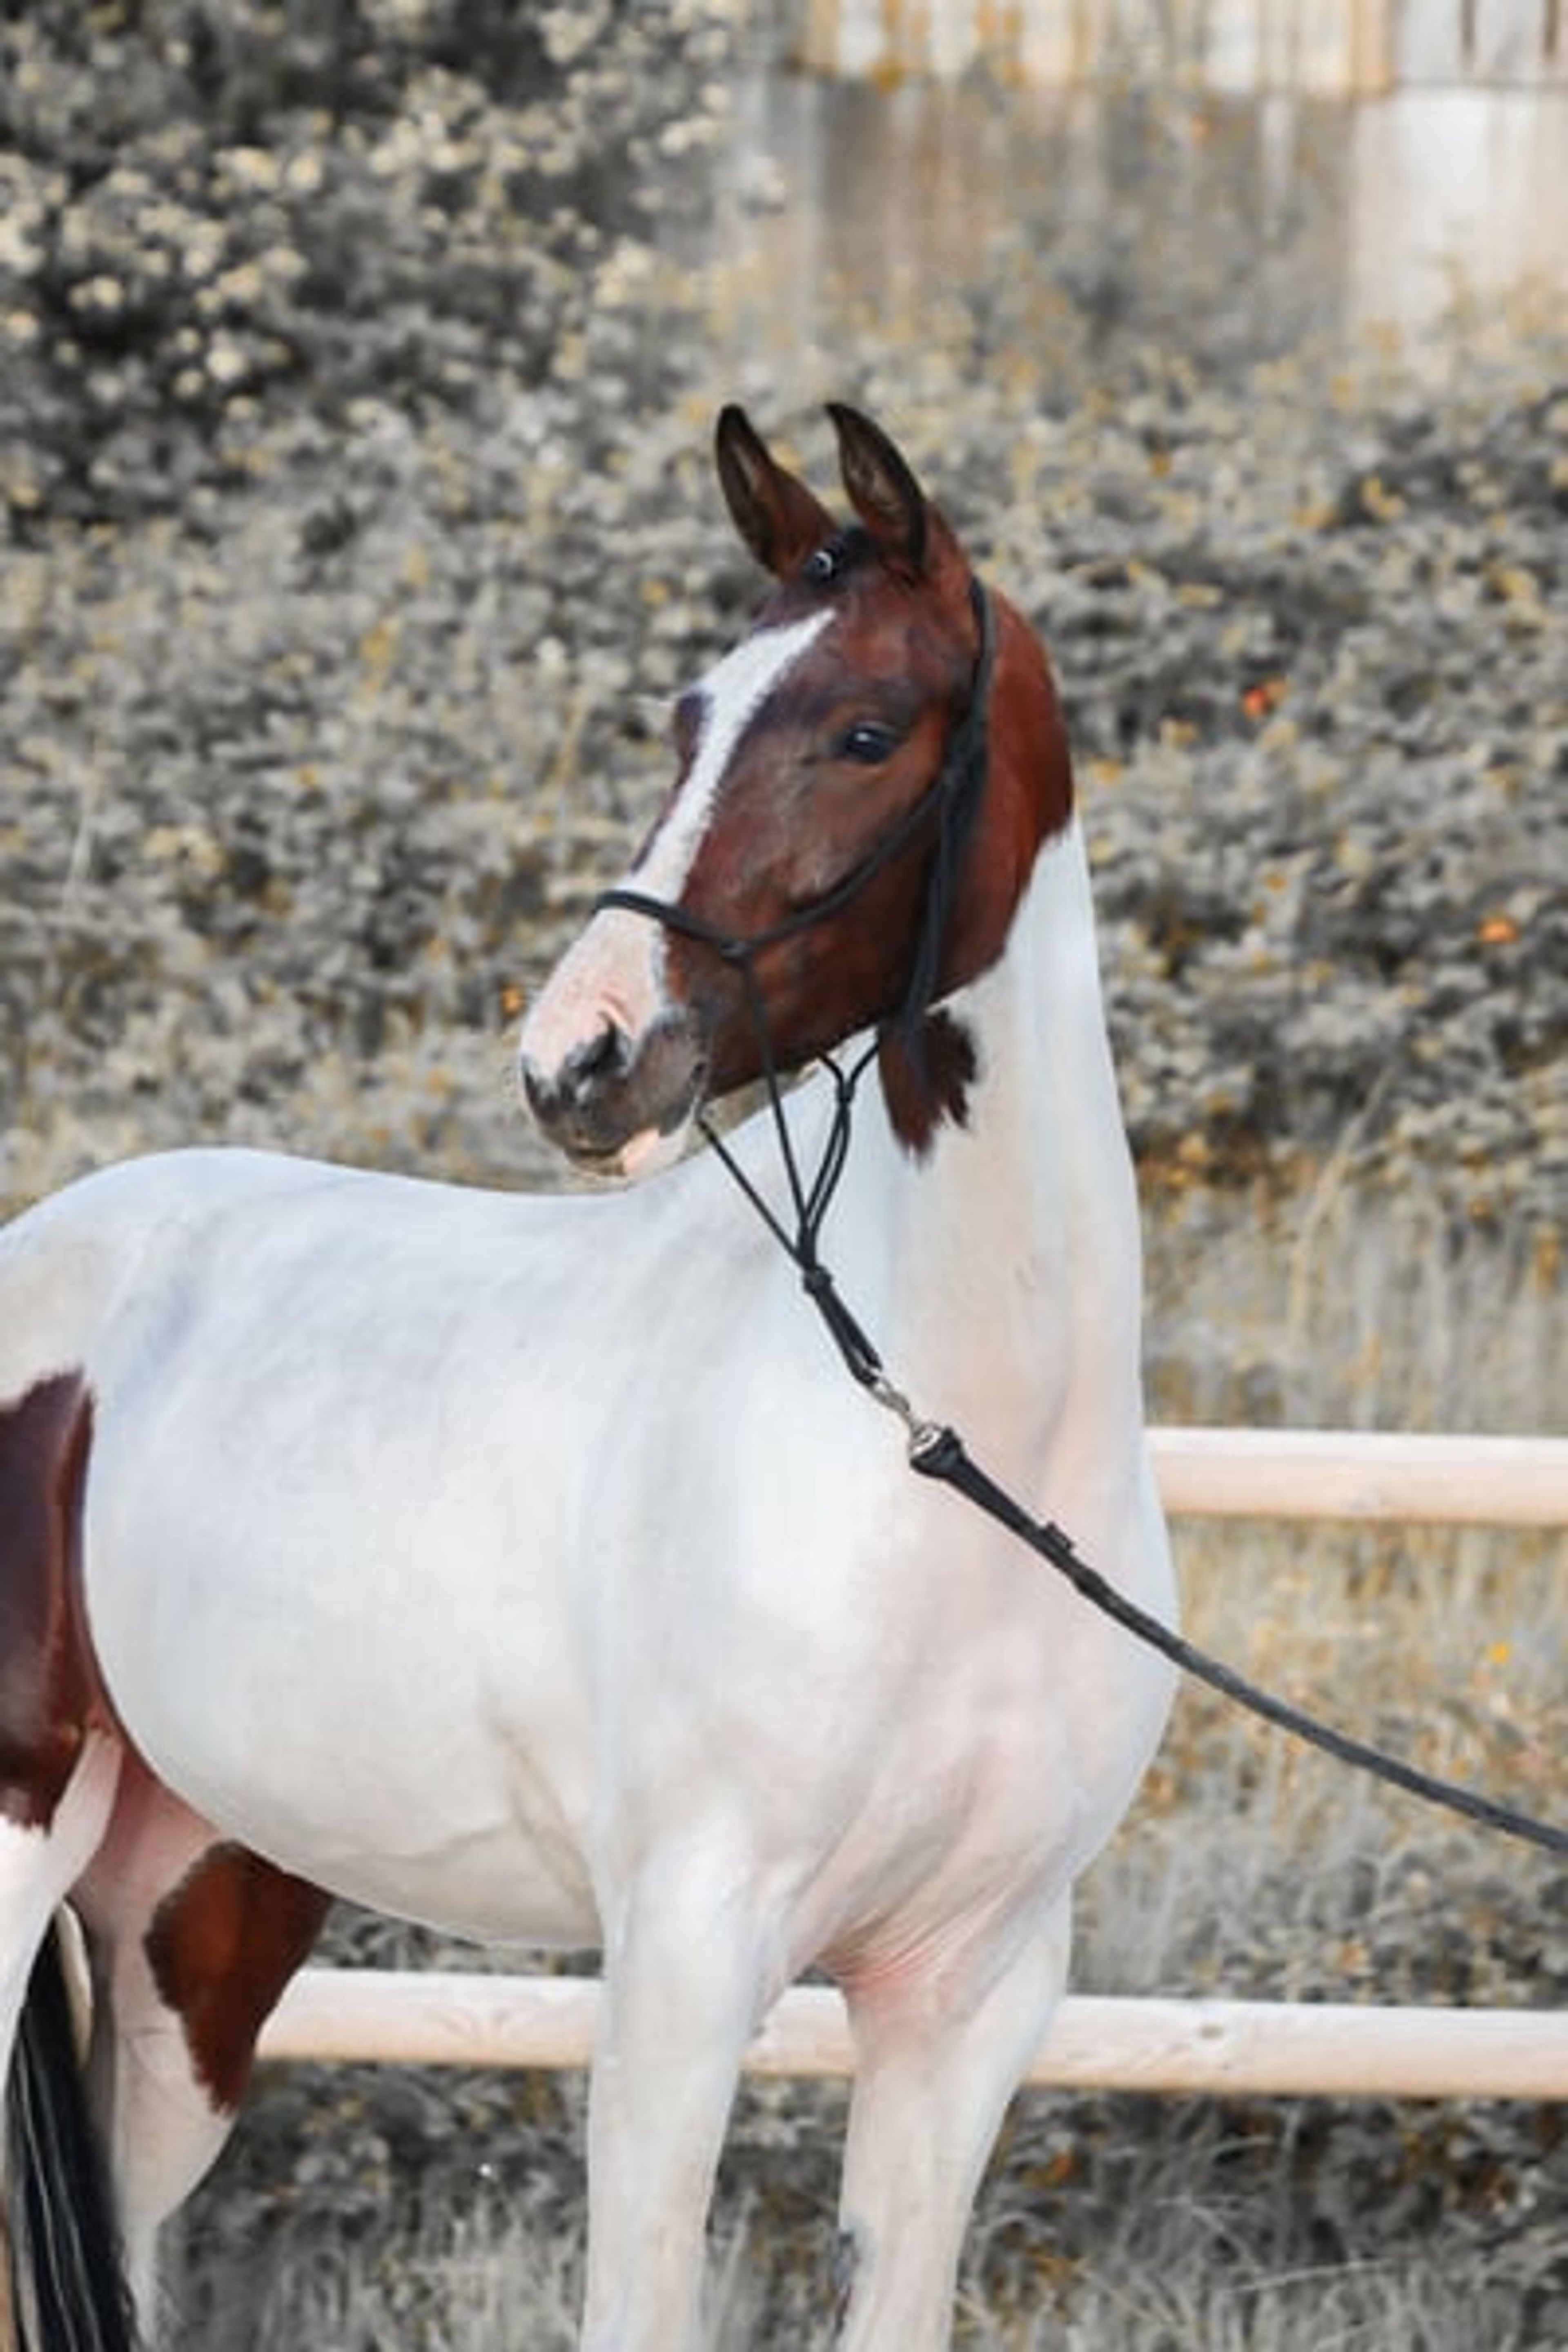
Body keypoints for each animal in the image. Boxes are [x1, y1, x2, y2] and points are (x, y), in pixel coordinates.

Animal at [0, 402, 1175, 2350]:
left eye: (865, 728)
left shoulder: (969, 1994)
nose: (581, 1061)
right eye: (688, 719)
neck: (951, 1444)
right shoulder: (685, 1965)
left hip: (192, 1931)